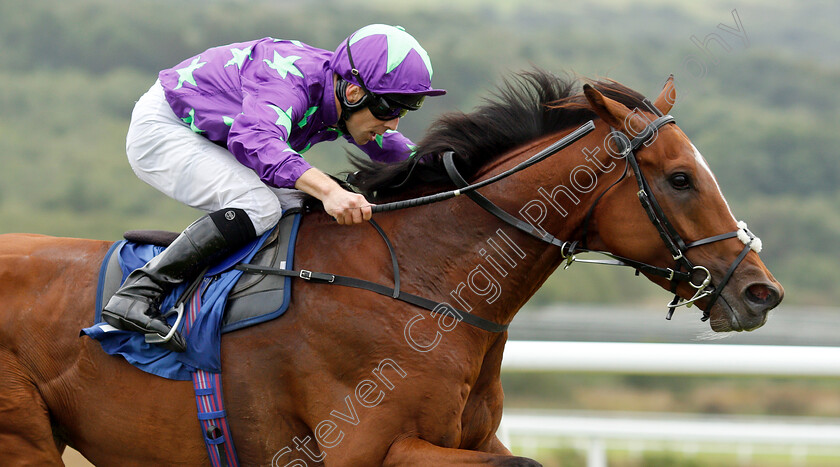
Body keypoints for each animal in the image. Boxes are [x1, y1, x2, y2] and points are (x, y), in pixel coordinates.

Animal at [0, 71, 780, 466]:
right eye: (680, 178)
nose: (760, 290)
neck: (422, 288)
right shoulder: (368, 448)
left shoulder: (470, 438)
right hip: (24, 441)